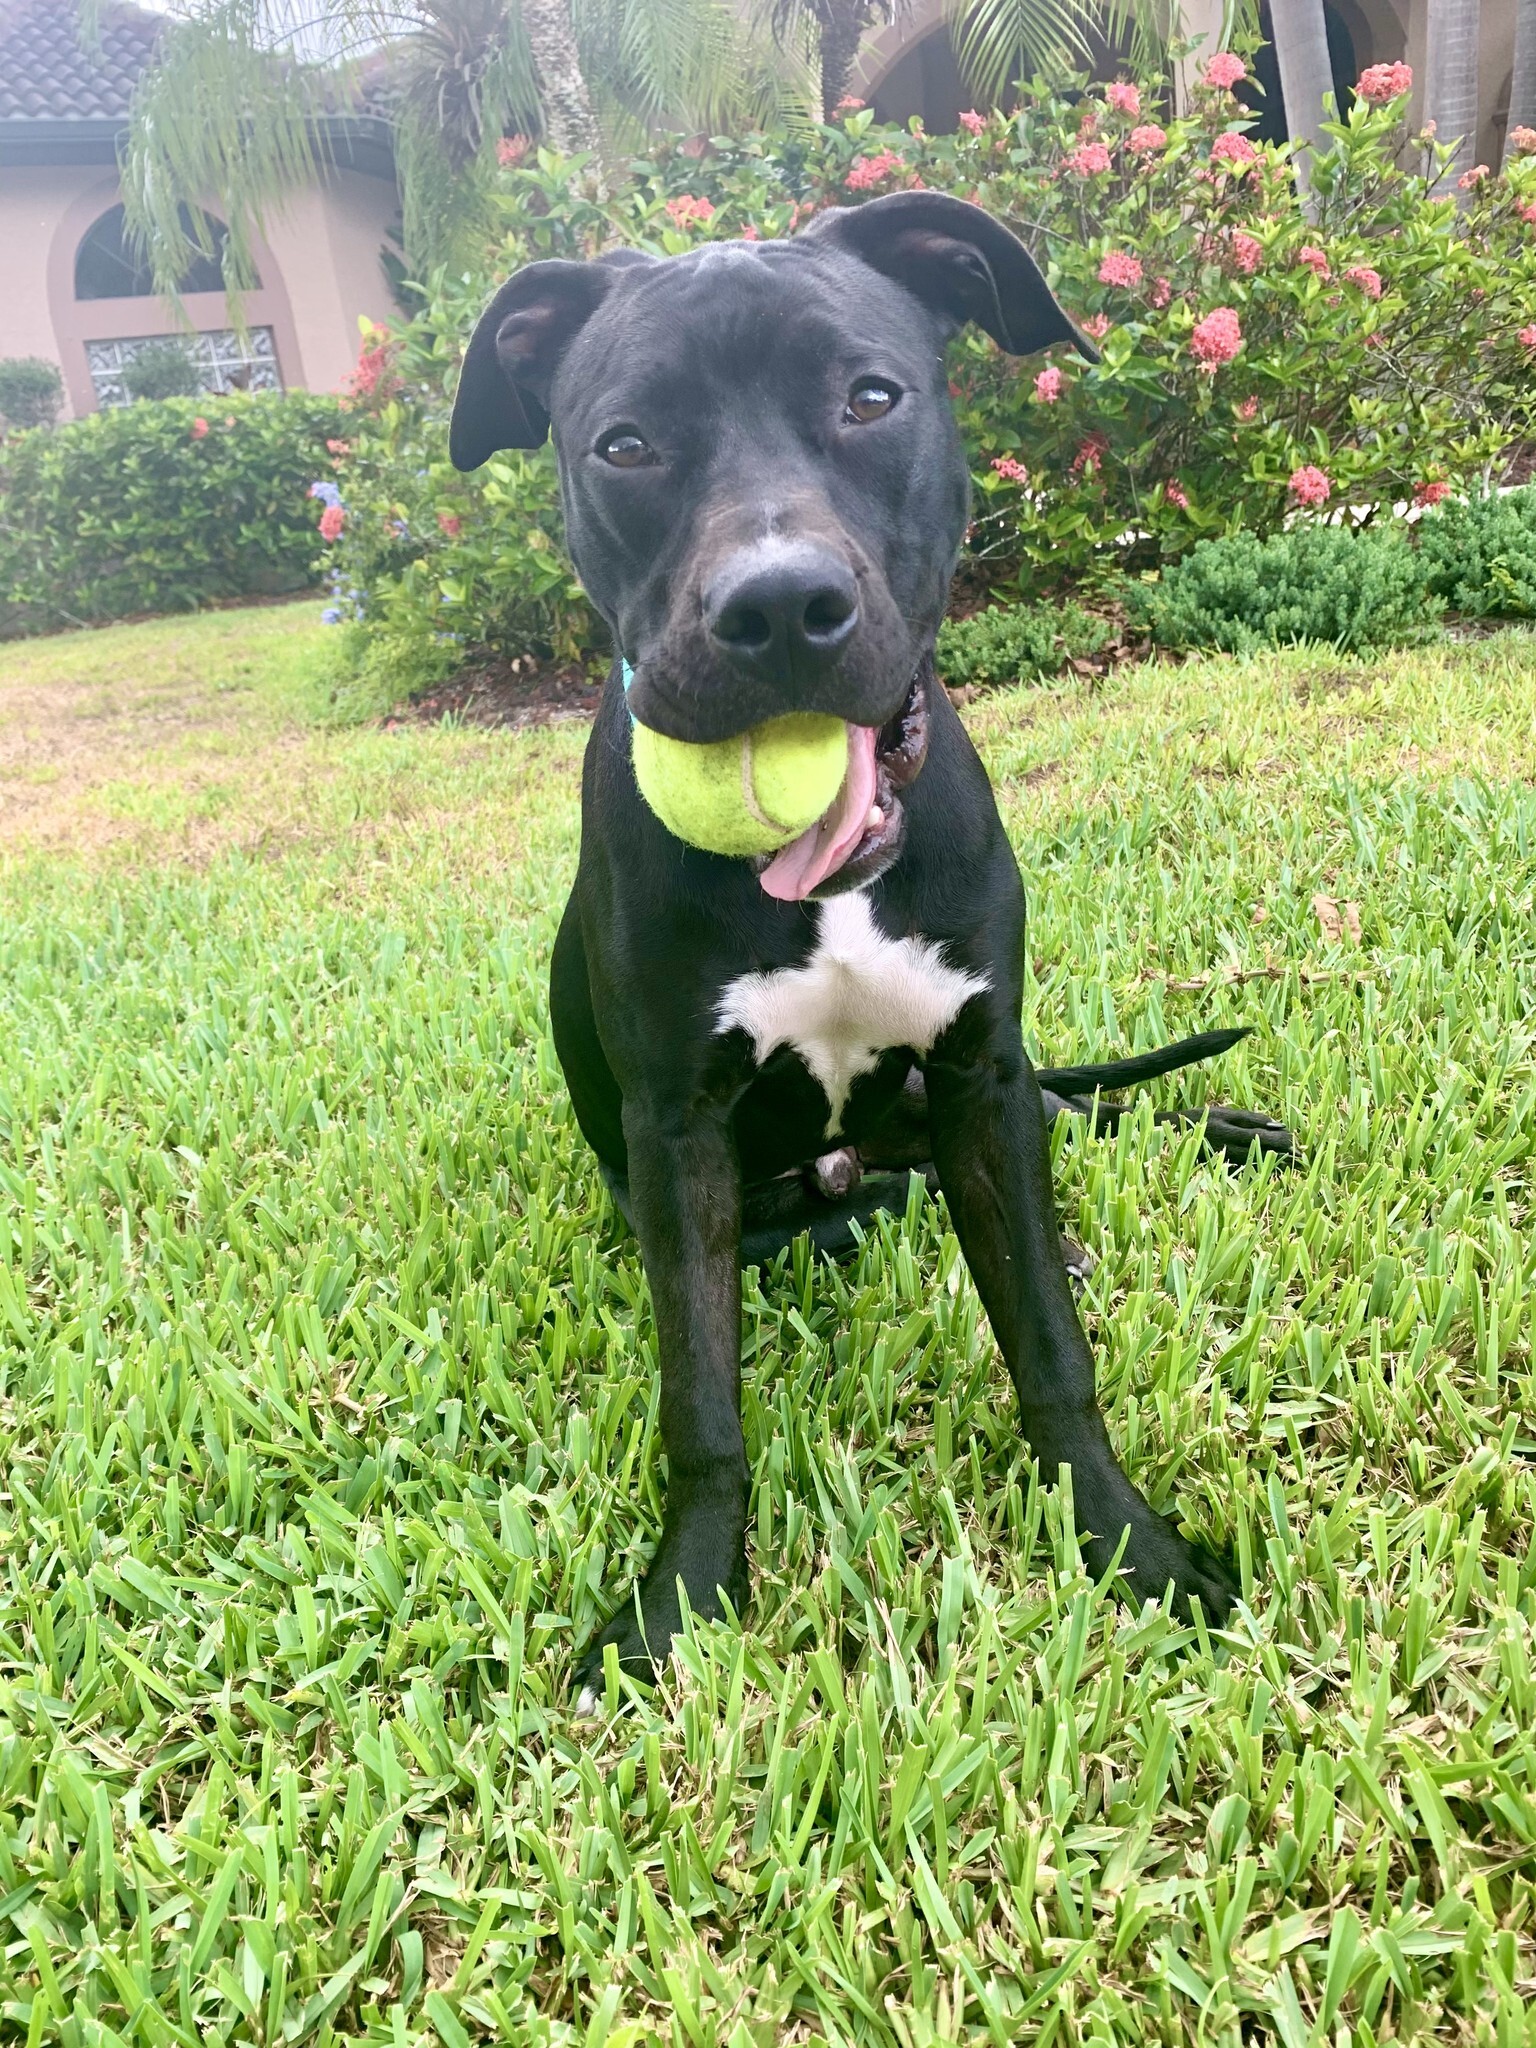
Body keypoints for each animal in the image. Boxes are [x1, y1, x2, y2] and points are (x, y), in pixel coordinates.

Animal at [450, 192, 1294, 1695]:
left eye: (871, 397)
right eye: (626, 443)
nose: (778, 607)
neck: (831, 877)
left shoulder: (978, 1071)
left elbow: (1049, 1348)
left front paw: (1126, 1540)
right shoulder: (680, 1137)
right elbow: (702, 1402)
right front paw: (682, 1599)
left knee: (1074, 1115)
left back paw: (1226, 1135)